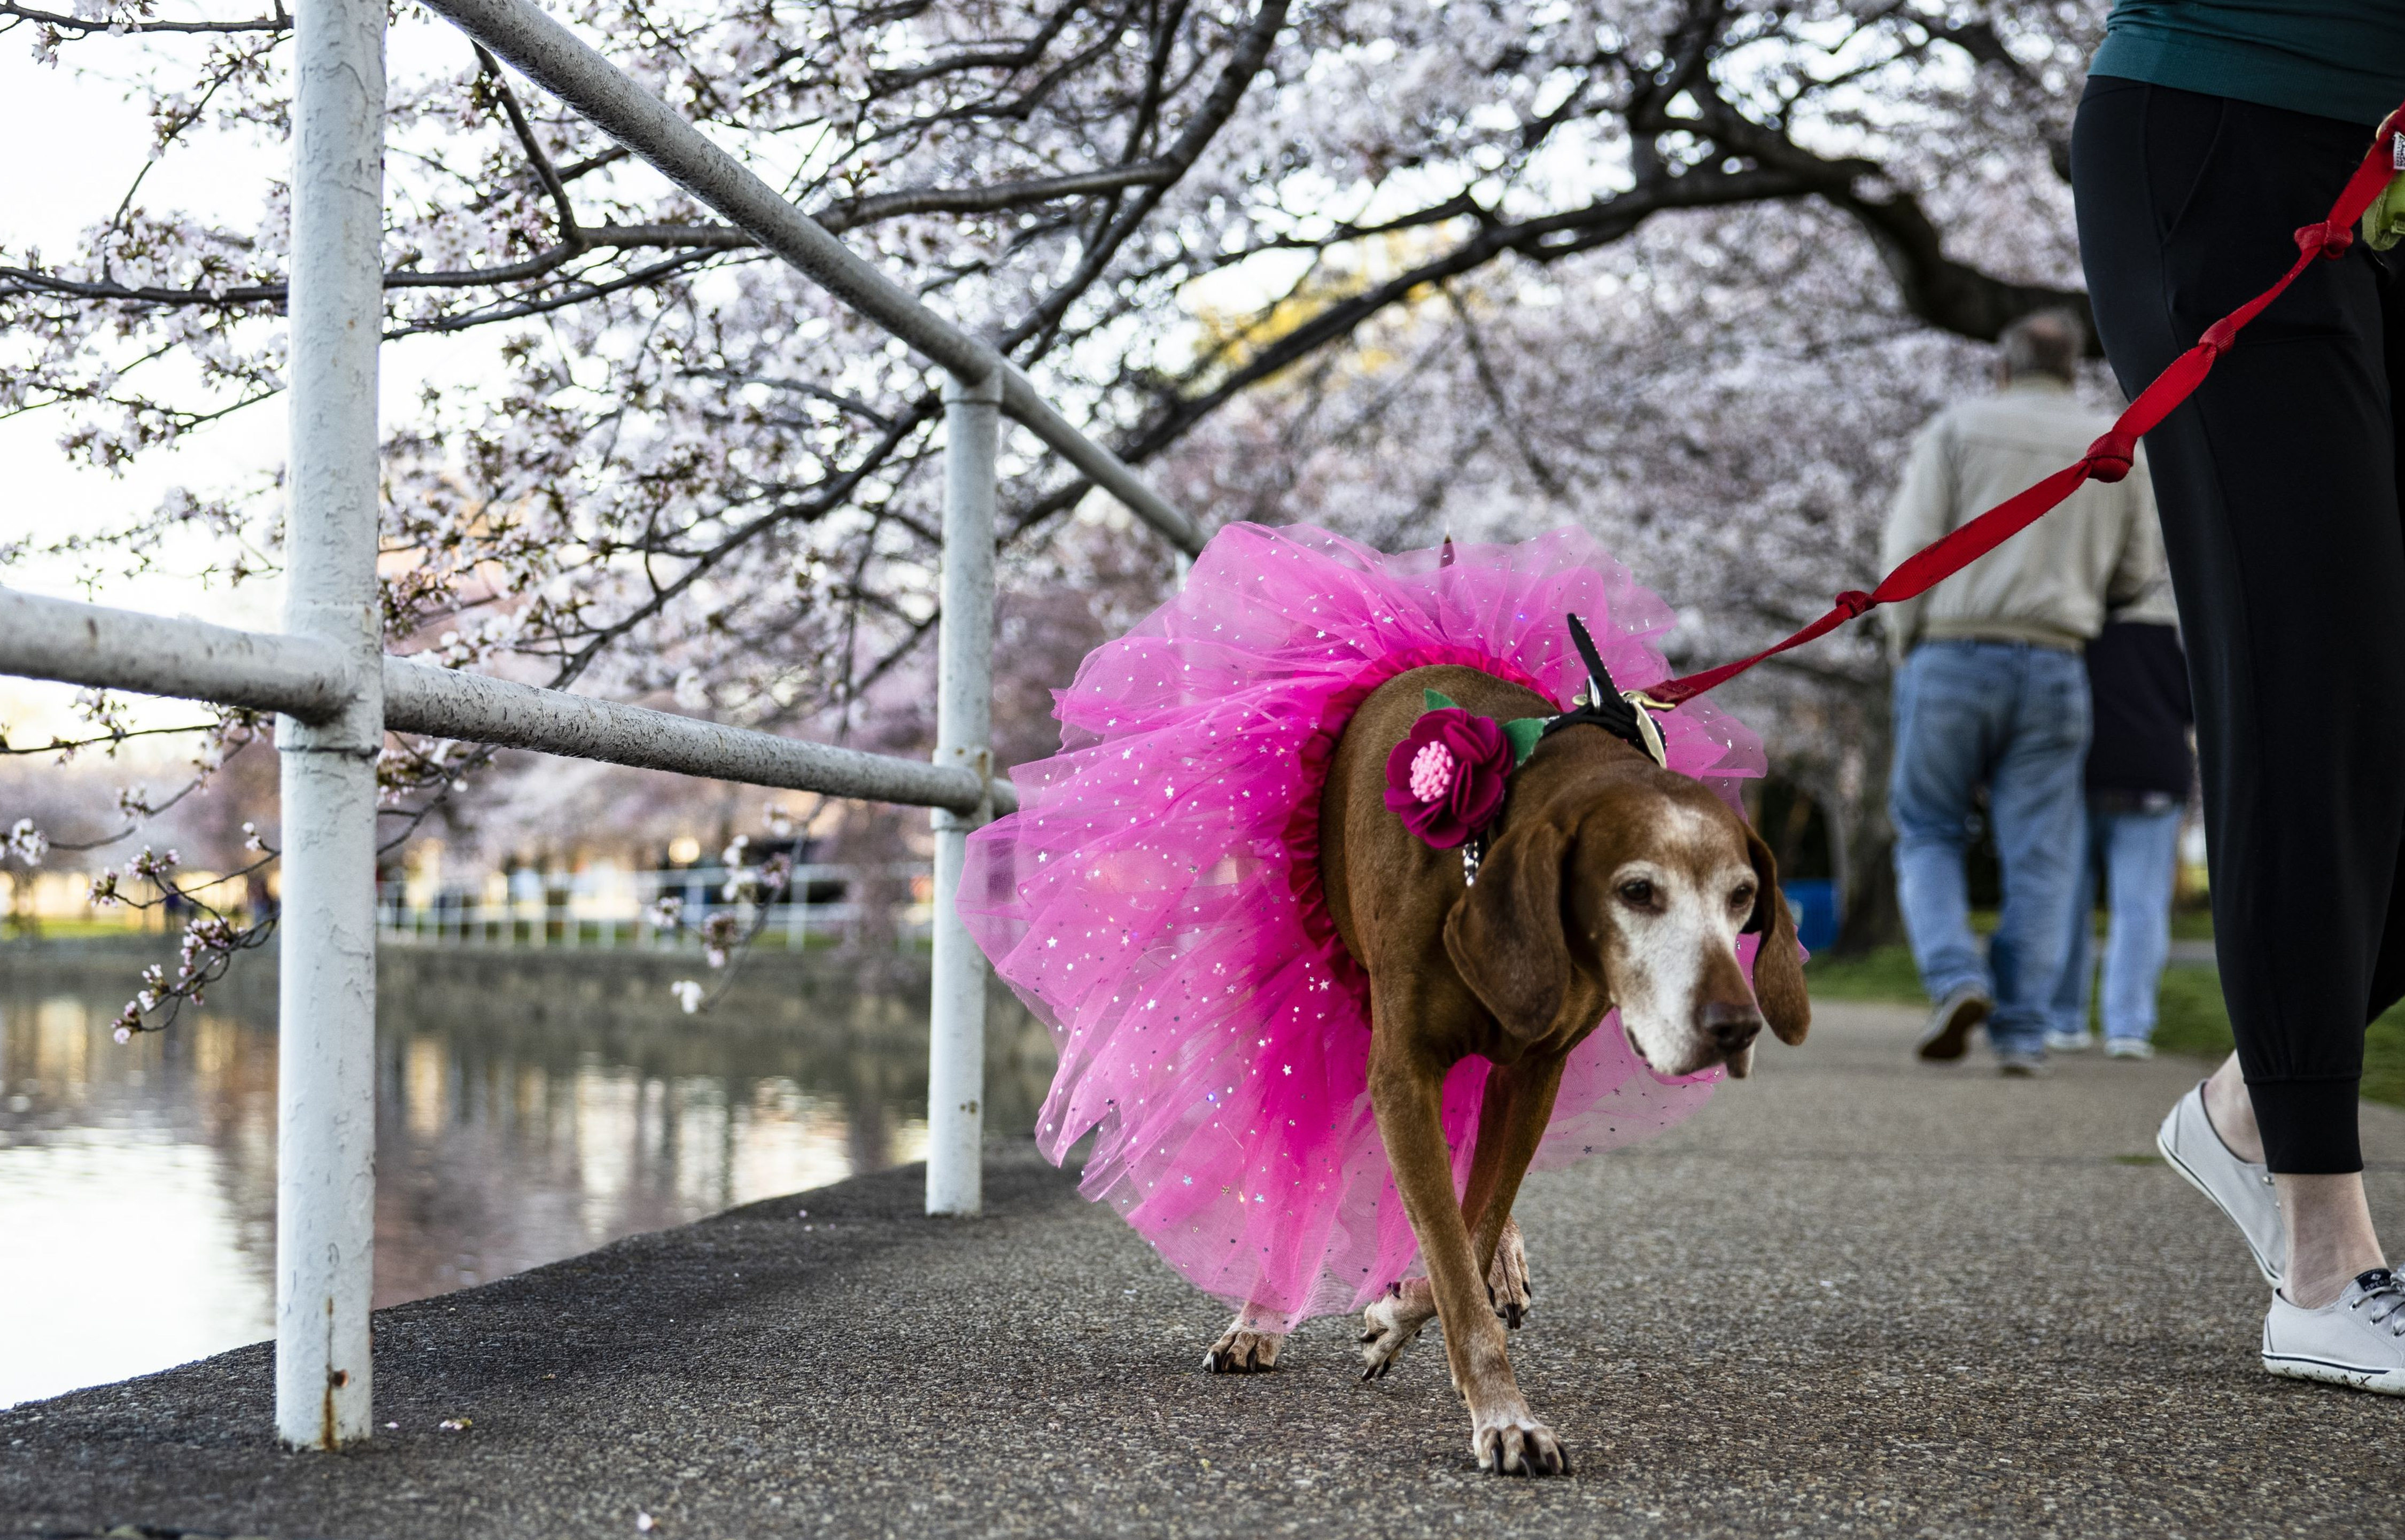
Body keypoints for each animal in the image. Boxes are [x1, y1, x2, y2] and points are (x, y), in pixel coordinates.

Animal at [1203, 664, 1809, 1482]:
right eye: (1637, 891)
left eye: (1742, 895)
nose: (1735, 1026)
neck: (1484, 837)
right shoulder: (1403, 1073)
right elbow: (1449, 1244)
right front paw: (1504, 1416)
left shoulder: (1533, 1074)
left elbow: (1472, 1230)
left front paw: (1402, 1315)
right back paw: (1259, 1316)